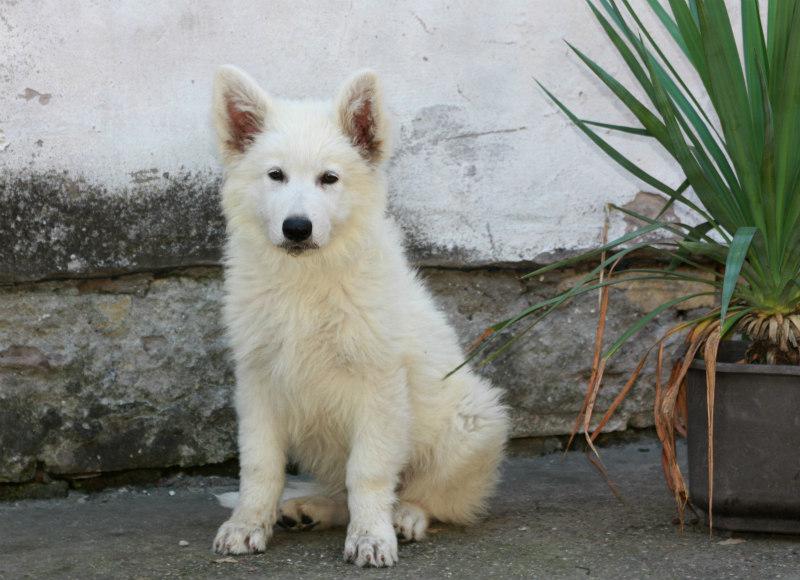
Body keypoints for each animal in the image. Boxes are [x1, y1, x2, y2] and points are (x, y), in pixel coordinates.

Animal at [209, 64, 510, 568]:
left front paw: (371, 536)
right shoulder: (258, 380)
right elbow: (259, 465)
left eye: (329, 179)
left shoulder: (379, 384)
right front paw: (248, 524)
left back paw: (404, 516)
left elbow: (368, 472)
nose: (297, 227)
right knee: (340, 491)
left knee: (433, 495)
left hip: (472, 420)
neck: (307, 281)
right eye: (275, 175)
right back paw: (308, 508)